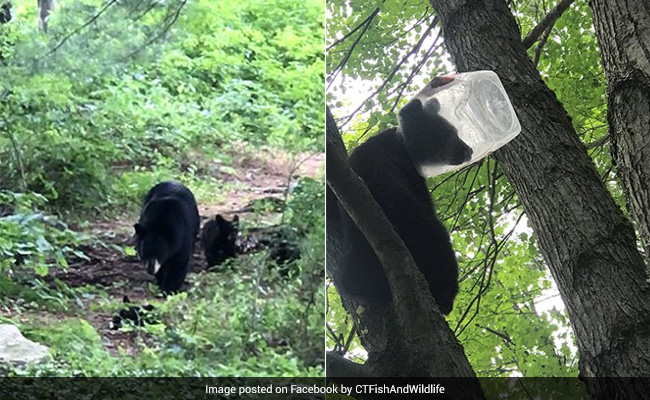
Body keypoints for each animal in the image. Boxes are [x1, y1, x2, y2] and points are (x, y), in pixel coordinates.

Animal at [329, 93, 472, 314]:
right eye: (451, 132)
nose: (468, 149)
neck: (402, 143)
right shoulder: (410, 175)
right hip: (413, 222)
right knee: (437, 243)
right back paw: (444, 297)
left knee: (351, 277)